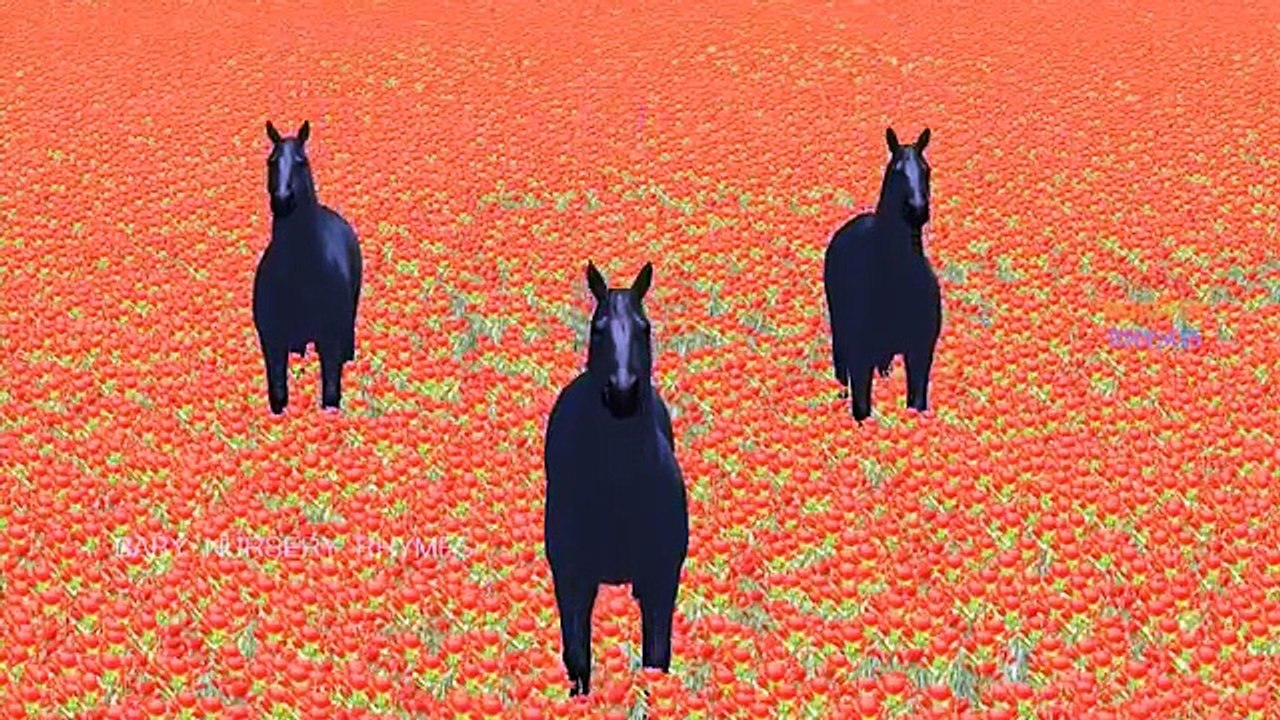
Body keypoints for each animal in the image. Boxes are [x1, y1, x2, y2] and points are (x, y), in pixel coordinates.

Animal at [252, 120, 363, 414]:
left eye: (301, 161)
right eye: (271, 161)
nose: (282, 200)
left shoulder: (330, 341)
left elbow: (331, 395)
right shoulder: (272, 342)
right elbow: (278, 396)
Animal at [542, 261, 688, 696]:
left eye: (645, 328)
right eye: (597, 328)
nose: (622, 394)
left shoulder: (661, 580)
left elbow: (656, 662)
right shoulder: (572, 580)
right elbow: (577, 662)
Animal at [823, 127, 942, 423]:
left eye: (926, 169)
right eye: (896, 170)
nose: (918, 209)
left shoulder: (920, 353)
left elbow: (917, 403)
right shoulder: (860, 357)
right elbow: (862, 410)